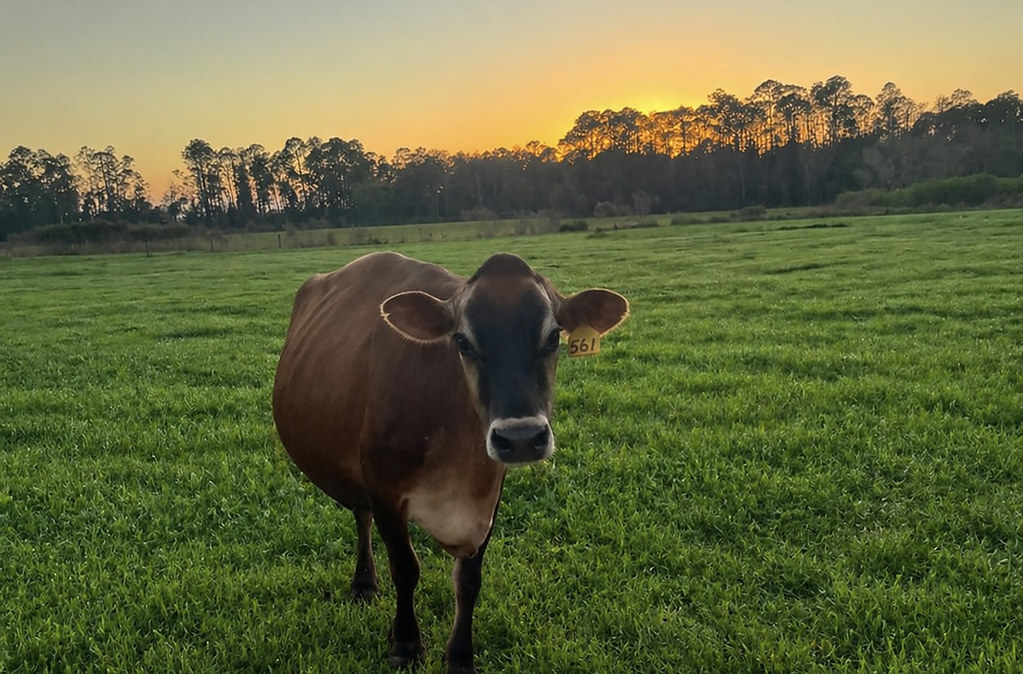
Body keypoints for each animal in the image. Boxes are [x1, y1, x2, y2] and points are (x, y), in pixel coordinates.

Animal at [272, 251, 629, 672]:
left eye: (554, 336)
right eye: (462, 340)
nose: (521, 438)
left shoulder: (490, 495)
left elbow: (469, 579)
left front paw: (459, 655)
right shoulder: (384, 489)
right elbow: (406, 568)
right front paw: (406, 644)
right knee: (362, 517)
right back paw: (364, 583)